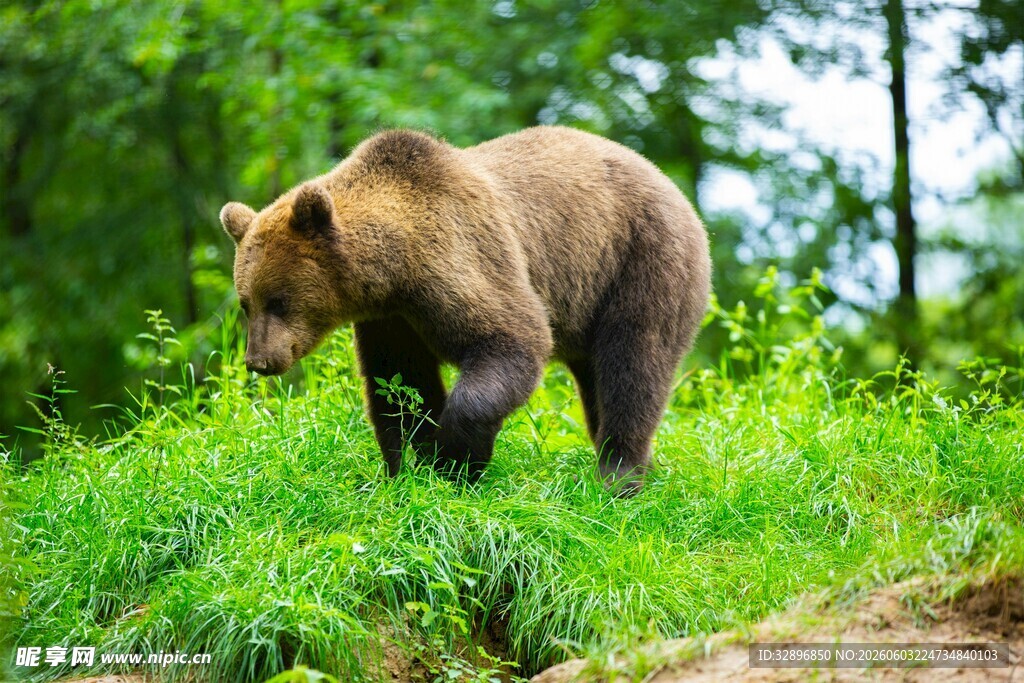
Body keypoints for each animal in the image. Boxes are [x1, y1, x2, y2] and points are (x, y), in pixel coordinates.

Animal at [220, 126, 711, 493]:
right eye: (246, 302)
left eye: (279, 301)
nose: (259, 361)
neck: (395, 271)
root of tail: (672, 186)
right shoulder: (392, 320)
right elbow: (401, 385)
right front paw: (409, 466)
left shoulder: (460, 259)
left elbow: (512, 340)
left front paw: (456, 457)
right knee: (598, 378)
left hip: (640, 261)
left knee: (633, 364)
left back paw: (619, 472)